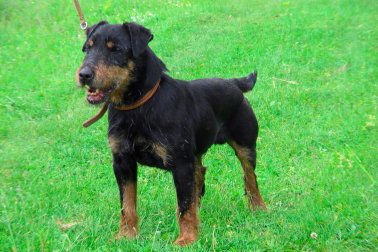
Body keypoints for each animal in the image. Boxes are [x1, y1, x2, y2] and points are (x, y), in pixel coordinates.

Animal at [76, 20, 266, 245]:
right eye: (88, 48)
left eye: (116, 50)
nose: (84, 75)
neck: (139, 106)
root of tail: (234, 83)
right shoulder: (123, 162)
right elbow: (127, 203)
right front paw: (126, 235)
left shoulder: (180, 163)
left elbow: (184, 206)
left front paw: (187, 239)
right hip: (195, 153)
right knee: (200, 175)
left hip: (245, 145)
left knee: (250, 177)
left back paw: (258, 208)